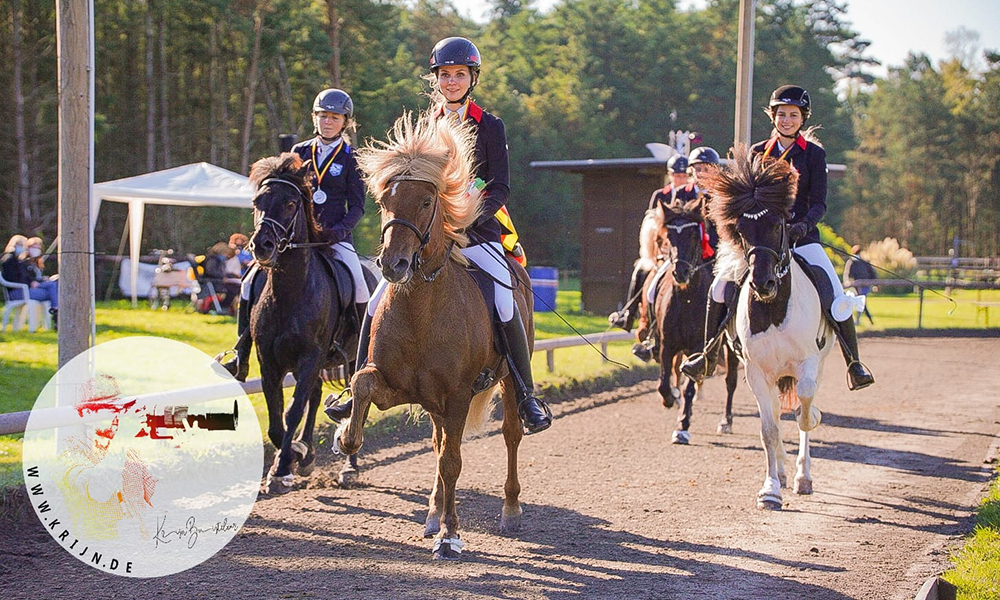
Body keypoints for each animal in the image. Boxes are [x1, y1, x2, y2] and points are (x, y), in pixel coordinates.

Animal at [249, 154, 368, 492]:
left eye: (290, 204)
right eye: (257, 201)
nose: (262, 245)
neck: (290, 293)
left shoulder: (309, 358)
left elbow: (291, 412)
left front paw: (281, 469)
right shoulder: (268, 362)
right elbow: (277, 420)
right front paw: (292, 457)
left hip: (351, 359)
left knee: (355, 403)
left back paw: (349, 467)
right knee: (314, 397)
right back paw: (307, 453)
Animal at [640, 202, 736, 446]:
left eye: (694, 235)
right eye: (668, 236)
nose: (680, 272)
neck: (686, 298)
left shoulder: (695, 348)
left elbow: (689, 389)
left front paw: (682, 426)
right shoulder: (667, 345)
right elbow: (664, 383)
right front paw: (670, 400)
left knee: (730, 381)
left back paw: (726, 421)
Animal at [704, 151, 836, 510]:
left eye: (779, 225)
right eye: (741, 229)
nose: (762, 283)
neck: (774, 309)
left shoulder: (808, 364)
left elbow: (803, 412)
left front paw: (802, 472)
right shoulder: (756, 372)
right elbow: (768, 429)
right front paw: (770, 489)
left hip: (819, 363)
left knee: (801, 405)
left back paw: (802, 474)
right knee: (775, 414)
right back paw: (782, 468)